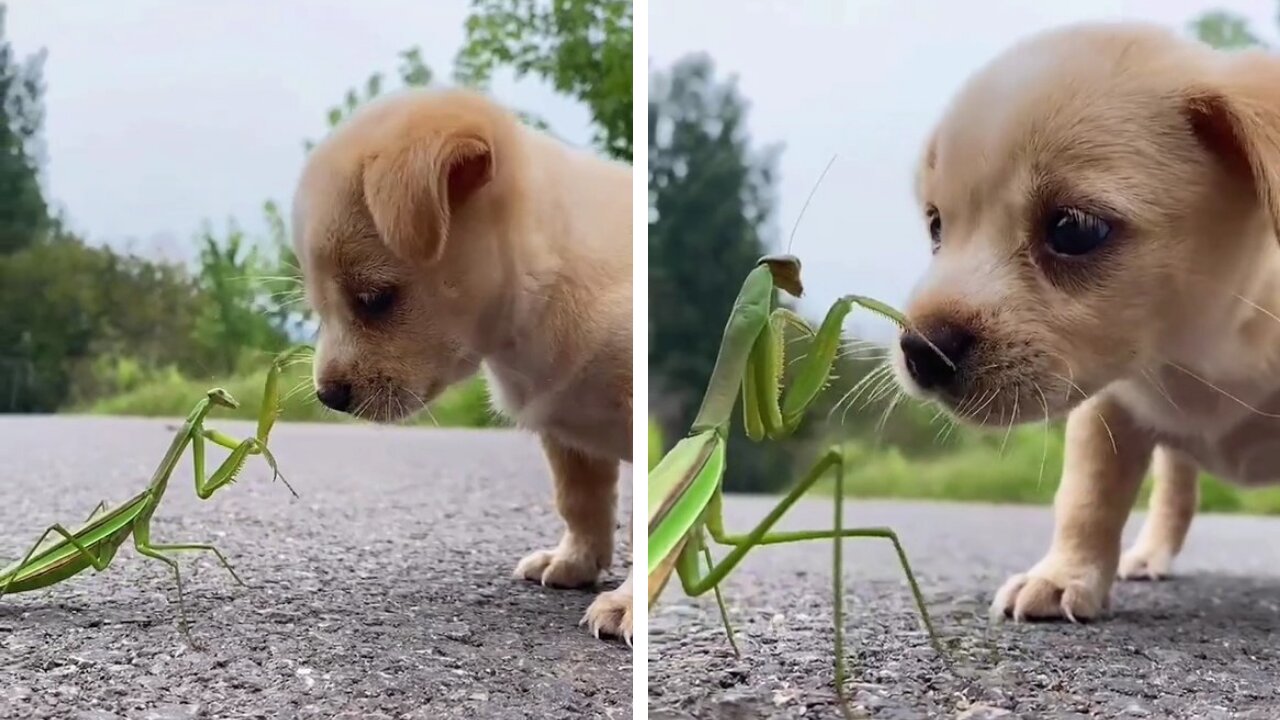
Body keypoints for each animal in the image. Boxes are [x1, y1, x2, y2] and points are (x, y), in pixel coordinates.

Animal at [289, 85, 629, 638]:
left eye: (374, 299)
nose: (328, 396)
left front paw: (628, 602)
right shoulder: (567, 434)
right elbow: (580, 501)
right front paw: (576, 561)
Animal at [896, 20, 1280, 617]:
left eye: (1075, 229)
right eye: (937, 227)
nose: (919, 349)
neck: (1198, 357)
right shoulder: (1108, 410)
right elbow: (1087, 499)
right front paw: (1061, 576)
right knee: (1177, 490)